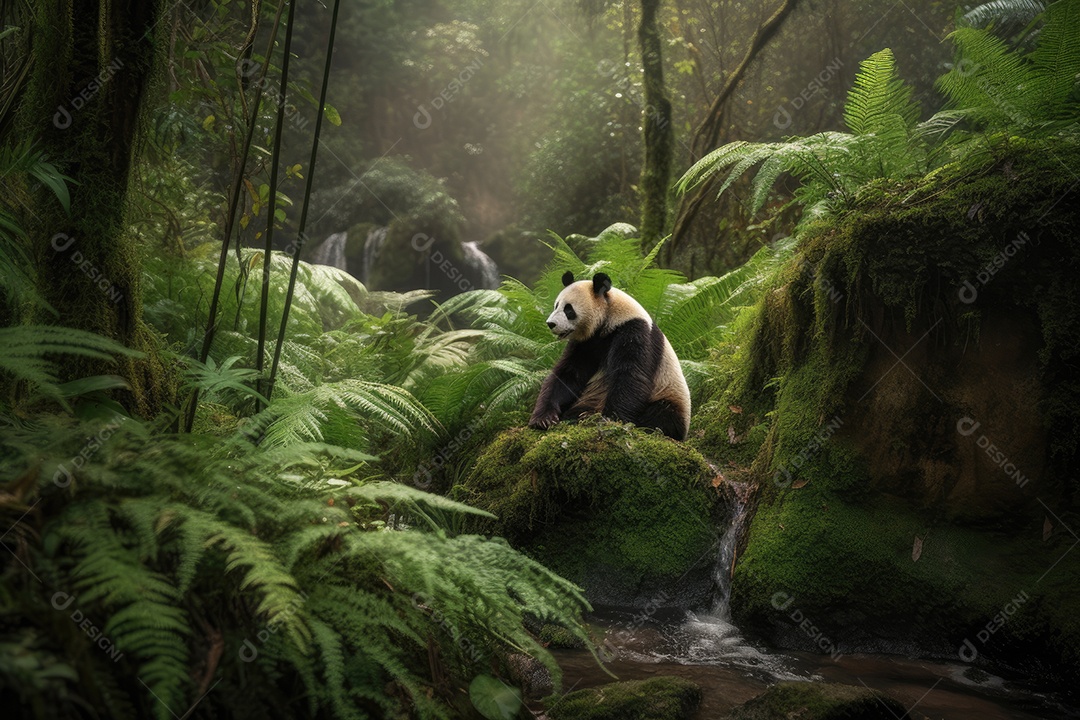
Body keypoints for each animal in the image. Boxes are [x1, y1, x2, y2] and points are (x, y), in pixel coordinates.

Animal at [528, 271, 691, 441]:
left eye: (568, 310)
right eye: (556, 305)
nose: (550, 323)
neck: (610, 315)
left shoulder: (634, 330)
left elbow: (630, 375)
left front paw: (608, 419)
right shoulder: (587, 343)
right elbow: (569, 374)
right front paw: (544, 418)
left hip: (669, 395)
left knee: (661, 413)